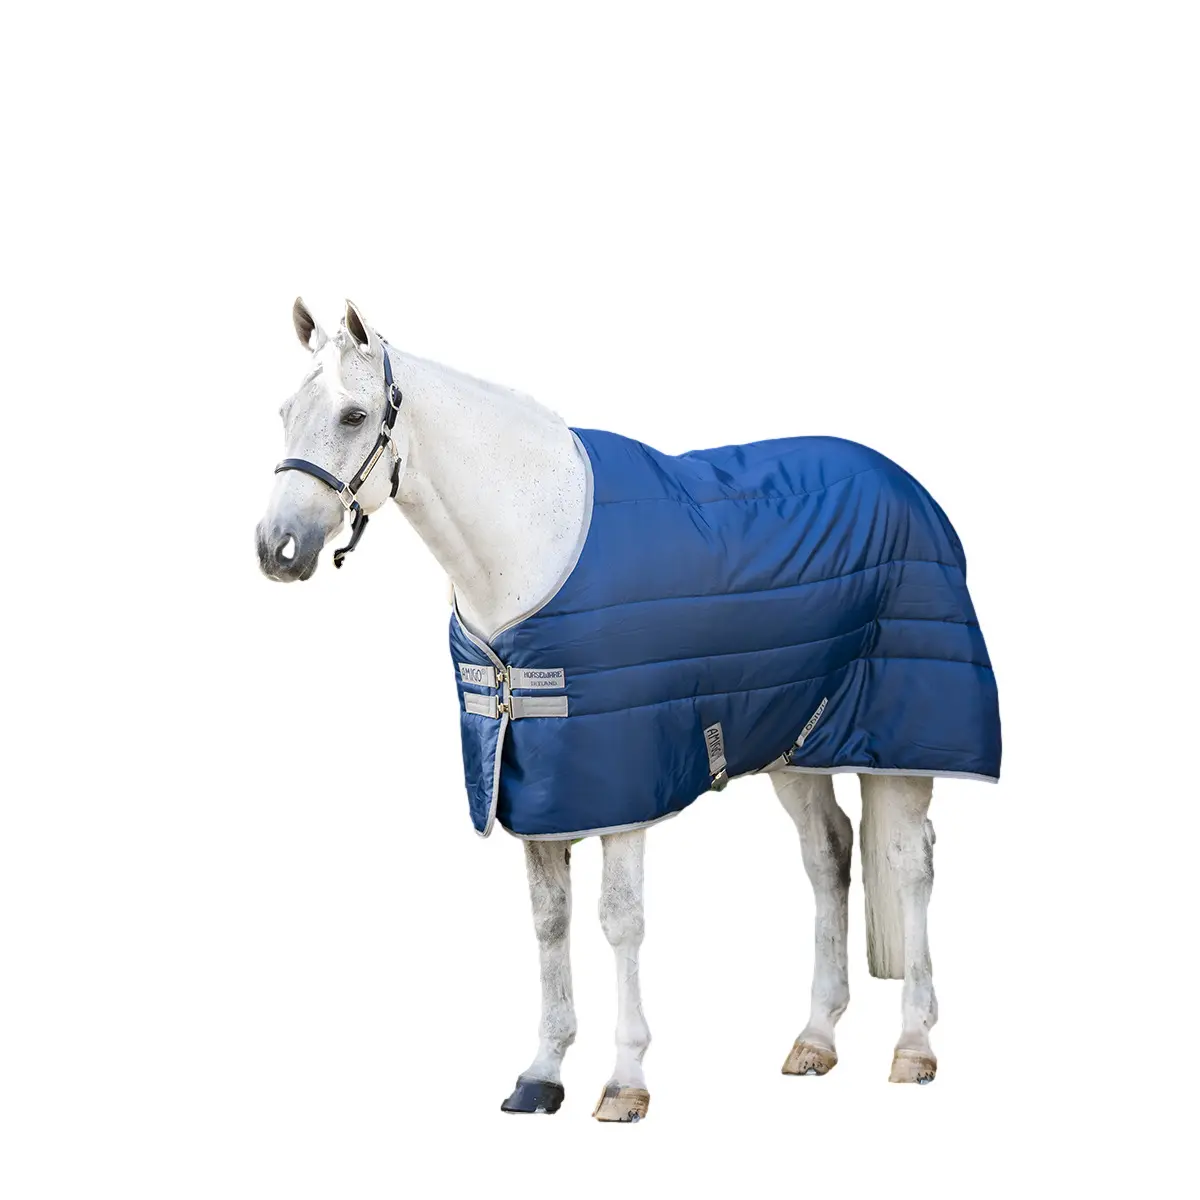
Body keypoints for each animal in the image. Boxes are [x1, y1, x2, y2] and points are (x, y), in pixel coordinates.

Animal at [256, 298, 1001, 1120]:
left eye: (354, 415)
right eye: (286, 412)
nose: (277, 548)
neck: (534, 546)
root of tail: (907, 484)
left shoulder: (623, 785)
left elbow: (619, 920)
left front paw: (625, 1080)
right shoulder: (535, 783)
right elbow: (550, 920)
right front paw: (542, 1073)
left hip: (904, 738)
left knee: (908, 863)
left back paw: (914, 1046)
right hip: (798, 738)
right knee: (829, 855)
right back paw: (815, 1038)